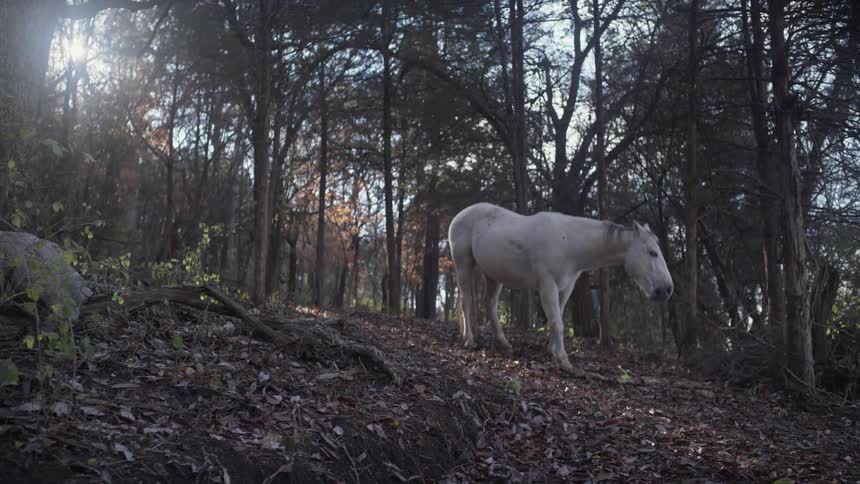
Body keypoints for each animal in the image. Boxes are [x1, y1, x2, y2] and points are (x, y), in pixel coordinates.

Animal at [447, 202, 673, 372]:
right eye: (653, 252)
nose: (667, 290)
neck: (570, 242)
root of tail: (459, 215)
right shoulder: (548, 286)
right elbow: (558, 323)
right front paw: (563, 361)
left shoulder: (566, 288)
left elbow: (557, 319)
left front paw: (553, 351)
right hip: (464, 265)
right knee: (467, 302)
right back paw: (470, 340)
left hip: (493, 276)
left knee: (490, 306)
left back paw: (503, 344)